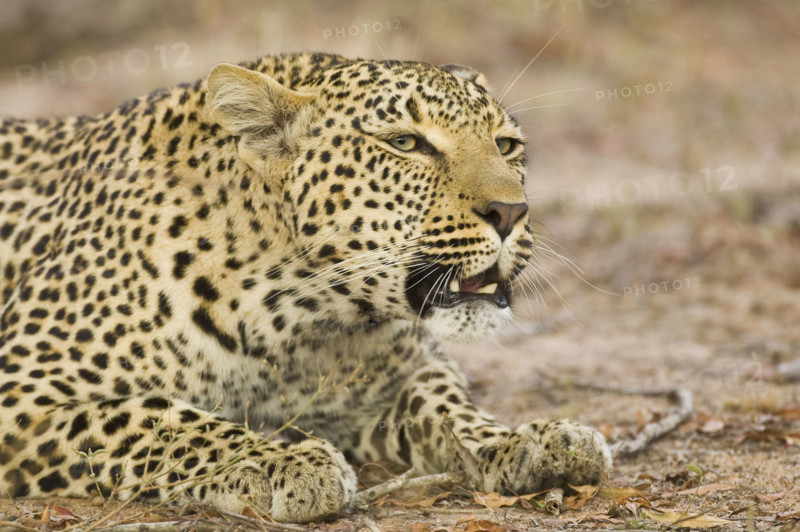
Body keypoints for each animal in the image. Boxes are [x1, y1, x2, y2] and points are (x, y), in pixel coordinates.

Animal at [0, 53, 612, 523]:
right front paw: (277, 463)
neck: (303, 313)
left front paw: (527, 440)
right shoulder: (23, 390)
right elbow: (159, 419)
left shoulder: (398, 377)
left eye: (506, 145)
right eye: (406, 143)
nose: (511, 212)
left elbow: (447, 403)